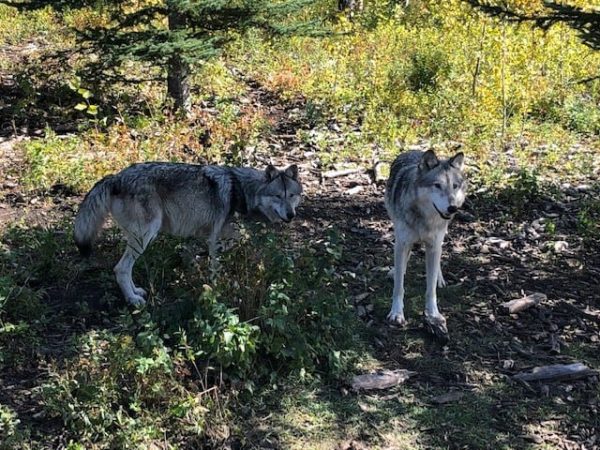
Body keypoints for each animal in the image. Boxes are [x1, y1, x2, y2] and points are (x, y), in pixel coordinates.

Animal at [74, 162, 302, 306]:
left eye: (292, 195)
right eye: (278, 196)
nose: (291, 215)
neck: (245, 192)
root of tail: (116, 177)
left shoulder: (214, 237)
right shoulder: (215, 236)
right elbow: (216, 265)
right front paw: (216, 291)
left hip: (140, 239)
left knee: (125, 268)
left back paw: (137, 291)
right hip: (147, 235)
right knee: (121, 268)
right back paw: (133, 300)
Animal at [386, 149, 466, 340]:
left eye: (454, 186)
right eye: (437, 185)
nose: (452, 208)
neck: (425, 218)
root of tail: (415, 151)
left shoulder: (434, 245)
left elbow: (431, 290)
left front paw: (433, 315)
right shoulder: (402, 242)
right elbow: (399, 286)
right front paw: (397, 314)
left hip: (439, 240)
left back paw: (439, 278)